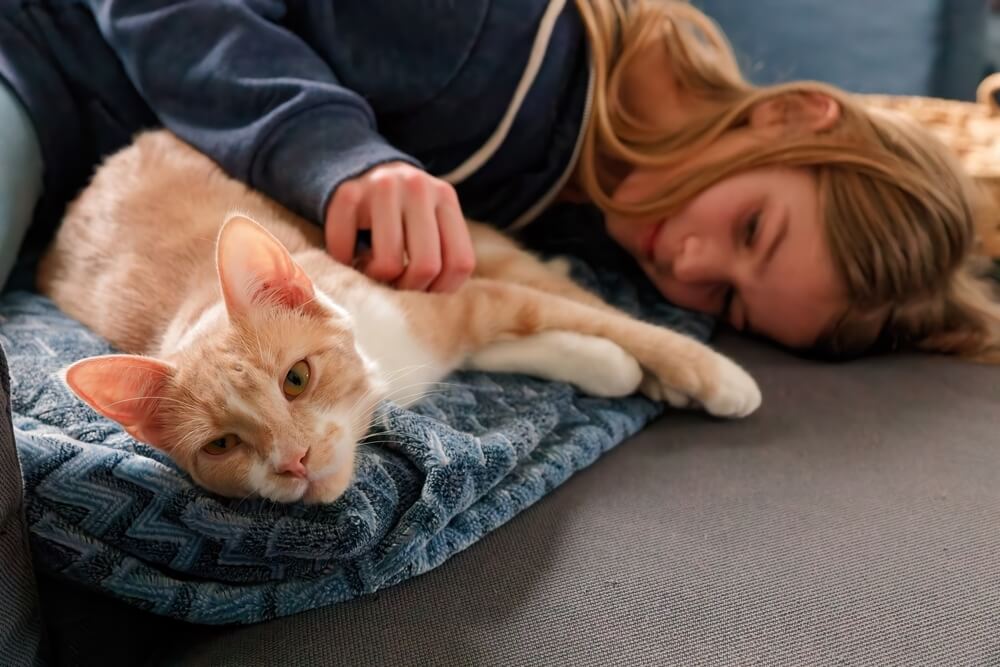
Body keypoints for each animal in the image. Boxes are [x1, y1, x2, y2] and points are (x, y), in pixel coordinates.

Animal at [35, 132, 760, 506]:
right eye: (222, 446)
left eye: (295, 378)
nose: (294, 460)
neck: (385, 372)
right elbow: (528, 342)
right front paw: (608, 366)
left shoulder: (448, 300)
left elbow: (594, 318)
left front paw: (710, 373)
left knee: (543, 276)